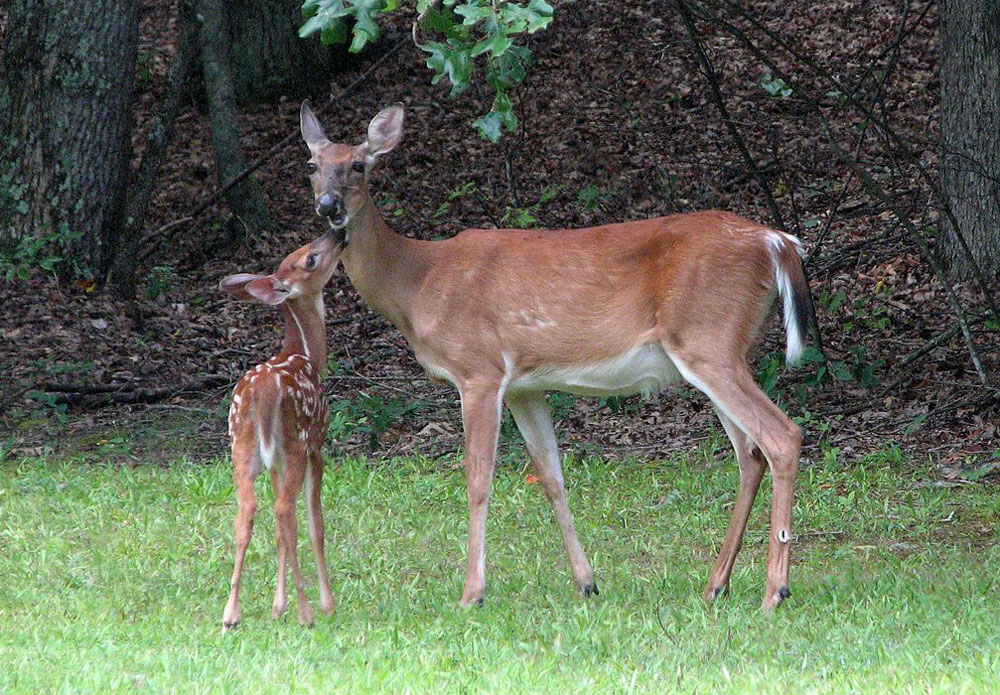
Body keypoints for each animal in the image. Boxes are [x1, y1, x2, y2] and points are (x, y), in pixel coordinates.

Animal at [219, 234, 344, 632]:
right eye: (310, 259)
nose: (338, 235)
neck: (307, 354)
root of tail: (261, 392)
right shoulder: (316, 444)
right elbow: (316, 523)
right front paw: (325, 603)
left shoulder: (273, 462)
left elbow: (276, 534)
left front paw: (278, 606)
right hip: (294, 442)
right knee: (286, 510)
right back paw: (307, 612)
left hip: (242, 446)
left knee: (248, 511)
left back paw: (231, 614)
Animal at [300, 102, 824, 608]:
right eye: (312, 165)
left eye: (359, 165)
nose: (328, 207)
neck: (417, 283)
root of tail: (778, 242)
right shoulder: (524, 386)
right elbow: (551, 476)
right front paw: (586, 583)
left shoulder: (478, 369)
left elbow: (478, 480)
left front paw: (472, 593)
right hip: (724, 349)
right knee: (750, 455)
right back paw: (716, 585)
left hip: (708, 339)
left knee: (781, 436)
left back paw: (774, 592)